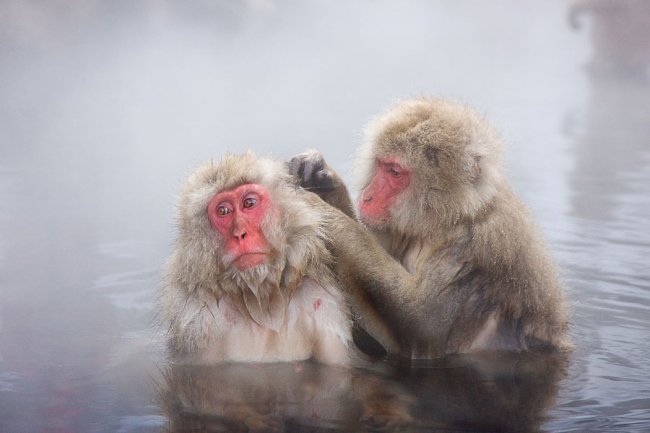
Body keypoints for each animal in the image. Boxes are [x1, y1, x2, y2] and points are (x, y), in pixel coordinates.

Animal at [159, 152, 390, 364]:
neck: (263, 300)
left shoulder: (324, 304)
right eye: (223, 210)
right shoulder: (197, 323)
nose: (240, 234)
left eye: (249, 203)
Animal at [288, 97, 568, 358]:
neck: (451, 217)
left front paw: (326, 214)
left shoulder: (475, 248)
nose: (367, 197)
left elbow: (421, 324)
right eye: (380, 164)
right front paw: (321, 176)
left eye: (394, 172)